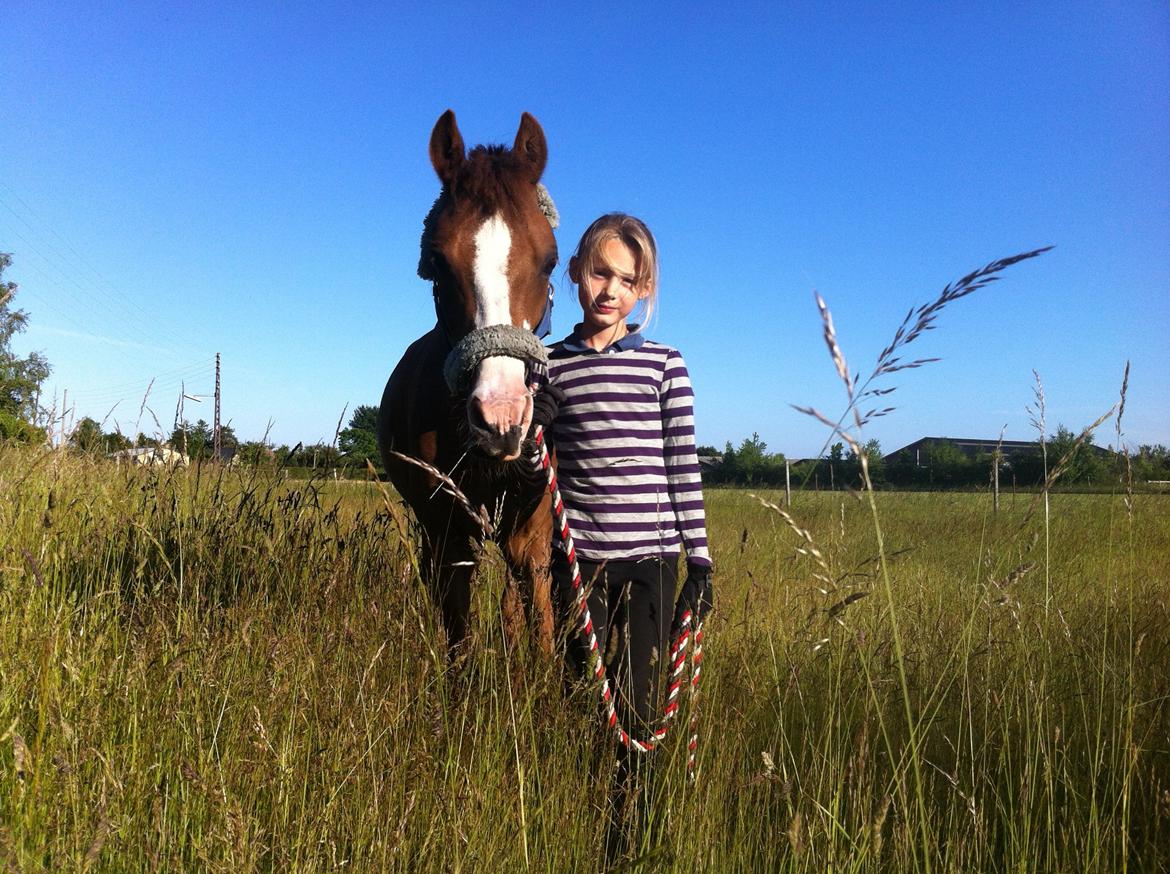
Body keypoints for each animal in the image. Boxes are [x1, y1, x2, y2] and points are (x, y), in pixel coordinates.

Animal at [378, 110, 558, 658]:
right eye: (438, 261)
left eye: (550, 260)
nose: (501, 418)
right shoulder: (447, 534)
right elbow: (458, 636)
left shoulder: (532, 532)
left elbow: (539, 621)